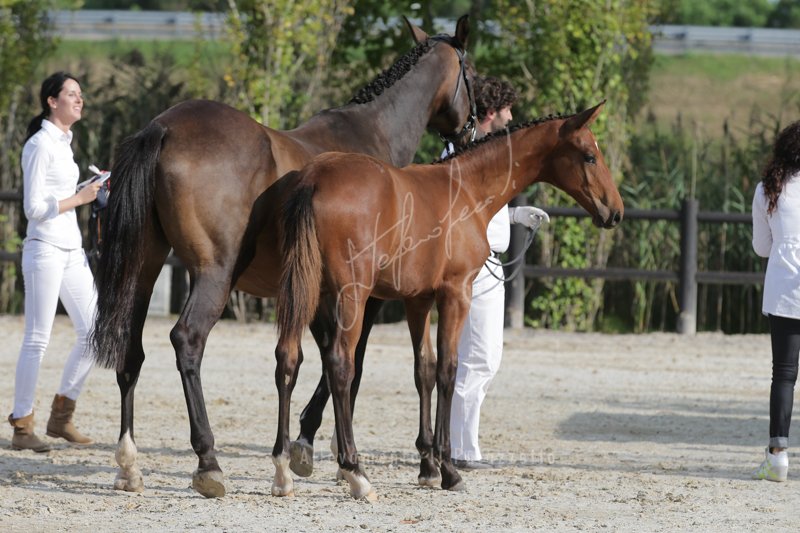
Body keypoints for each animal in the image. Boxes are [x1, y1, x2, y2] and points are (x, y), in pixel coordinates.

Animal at [91, 16, 478, 499]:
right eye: (472, 73)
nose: (470, 131)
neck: (372, 134)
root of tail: (163, 129)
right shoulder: (362, 295)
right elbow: (349, 362)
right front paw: (319, 451)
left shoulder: (318, 292)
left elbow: (320, 356)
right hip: (215, 275)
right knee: (188, 341)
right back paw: (208, 461)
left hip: (144, 269)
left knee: (132, 352)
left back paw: (129, 463)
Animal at [271, 101, 623, 500]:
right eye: (590, 156)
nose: (615, 212)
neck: (466, 189)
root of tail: (314, 178)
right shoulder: (456, 293)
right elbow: (448, 370)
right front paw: (449, 470)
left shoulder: (418, 299)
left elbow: (423, 369)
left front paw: (427, 467)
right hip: (351, 295)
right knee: (340, 365)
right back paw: (355, 471)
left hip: (305, 290)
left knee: (288, 358)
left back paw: (283, 468)